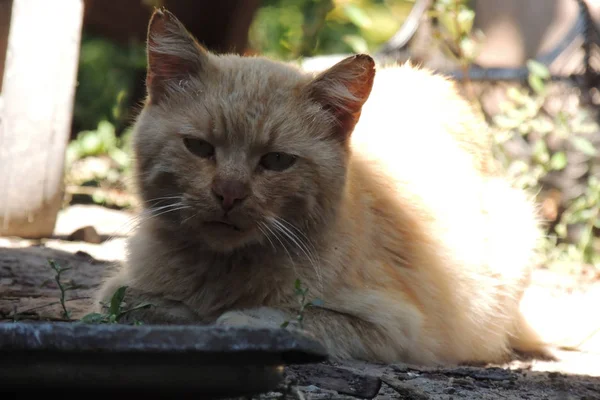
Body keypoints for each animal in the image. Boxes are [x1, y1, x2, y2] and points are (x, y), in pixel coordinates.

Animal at [95, 7, 552, 366]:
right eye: (199, 147)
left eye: (277, 161)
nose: (229, 193)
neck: (221, 269)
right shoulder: (118, 290)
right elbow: (140, 304)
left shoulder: (394, 327)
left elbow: (285, 319)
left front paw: (229, 321)